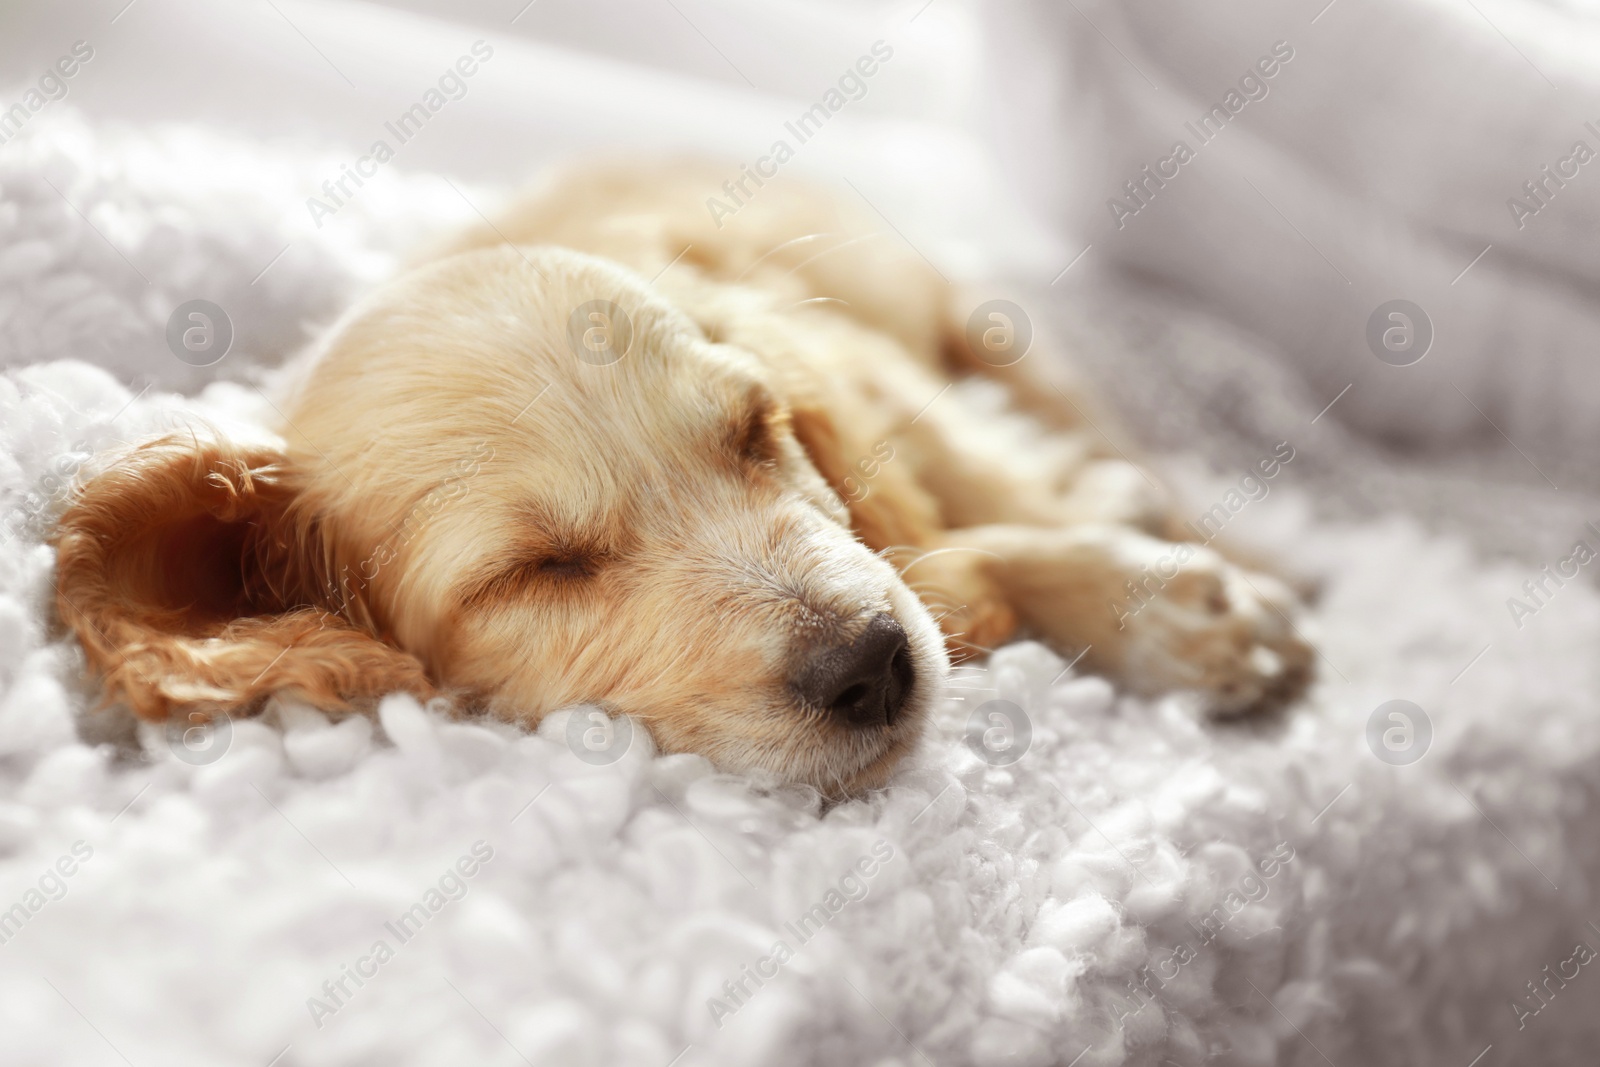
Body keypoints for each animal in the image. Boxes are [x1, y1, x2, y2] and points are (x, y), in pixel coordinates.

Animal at [53, 156, 1312, 793]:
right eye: (538, 570)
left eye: (756, 433)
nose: (872, 667)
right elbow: (948, 555)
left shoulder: (857, 369)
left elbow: (969, 512)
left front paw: (1174, 609)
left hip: (990, 334)